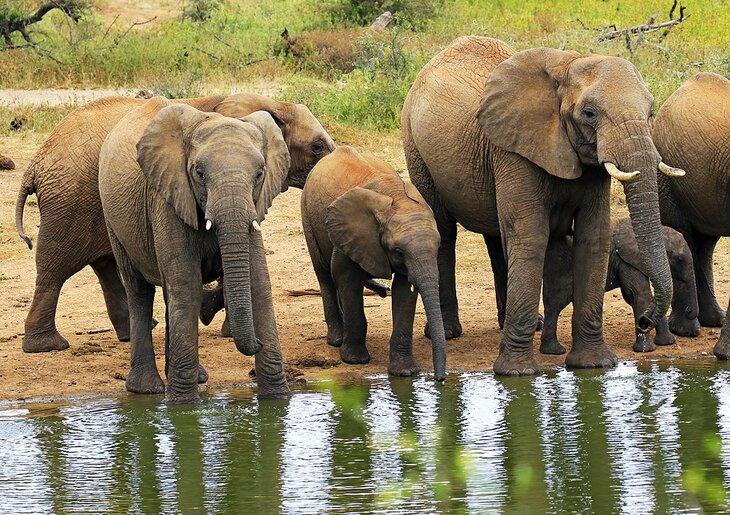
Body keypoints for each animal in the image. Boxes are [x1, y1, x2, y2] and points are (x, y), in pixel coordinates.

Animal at [15, 93, 335, 354]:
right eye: (317, 147)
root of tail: (36, 162)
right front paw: (219, 322)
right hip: (70, 201)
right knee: (55, 269)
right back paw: (46, 346)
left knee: (105, 265)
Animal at [99, 98, 290, 402]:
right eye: (199, 174)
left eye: (260, 174)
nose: (257, 343)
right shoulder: (167, 197)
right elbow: (187, 286)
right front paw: (183, 406)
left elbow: (258, 284)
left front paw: (277, 399)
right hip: (114, 221)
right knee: (140, 291)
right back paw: (146, 388)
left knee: (169, 296)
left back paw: (196, 378)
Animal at [300, 146, 446, 380]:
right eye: (398, 252)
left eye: (438, 247)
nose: (439, 379)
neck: (395, 197)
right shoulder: (349, 235)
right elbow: (347, 280)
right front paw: (355, 360)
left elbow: (405, 291)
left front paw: (405, 372)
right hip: (308, 215)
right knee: (325, 275)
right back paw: (337, 340)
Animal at [541, 219, 700, 355]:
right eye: (679, 259)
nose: (689, 311)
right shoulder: (627, 261)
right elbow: (640, 295)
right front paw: (646, 349)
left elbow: (638, 297)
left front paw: (667, 343)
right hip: (561, 266)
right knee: (557, 302)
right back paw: (557, 351)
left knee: (552, 304)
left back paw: (552, 351)